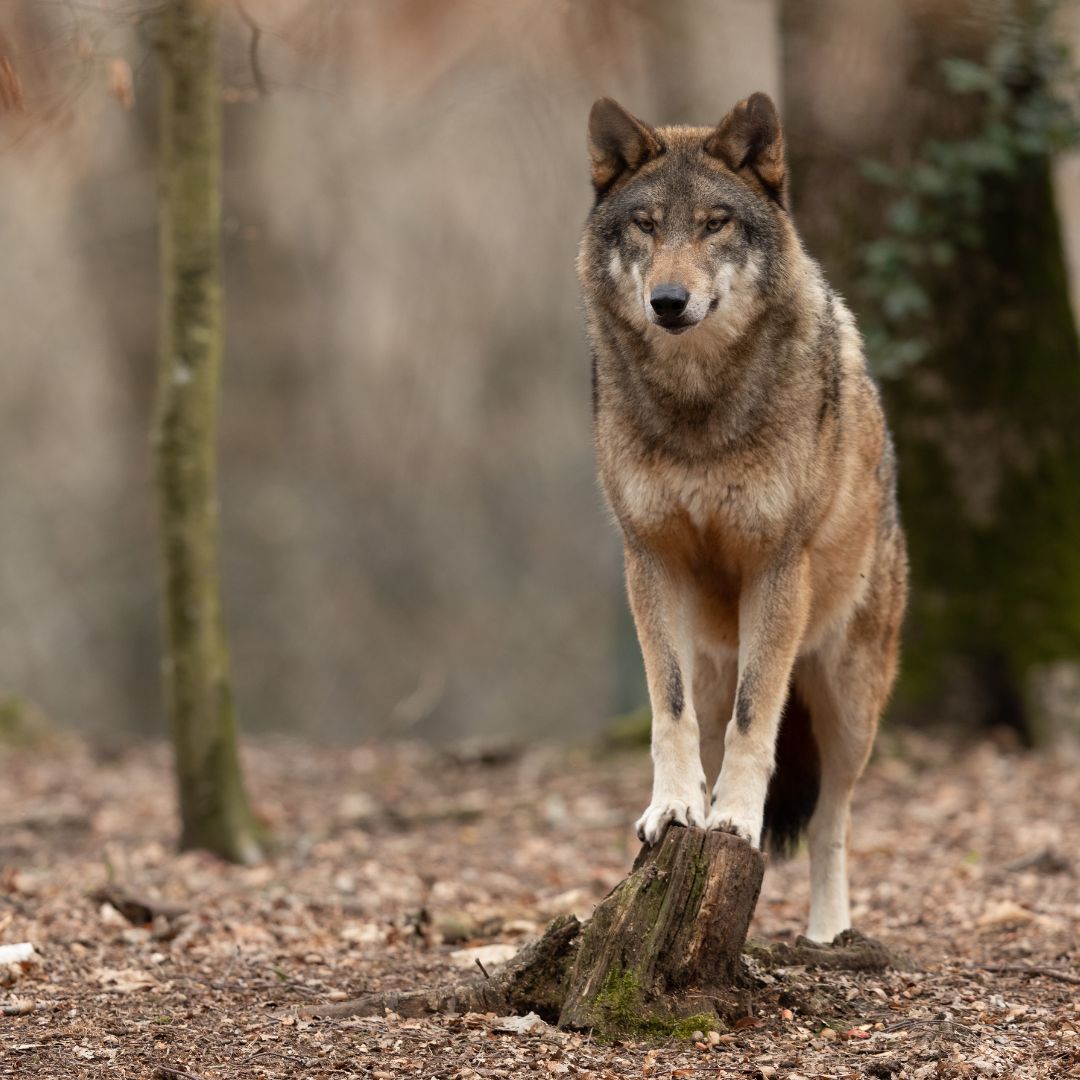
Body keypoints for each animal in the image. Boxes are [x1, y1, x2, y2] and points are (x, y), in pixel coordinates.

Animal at [578, 93, 908, 942]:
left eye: (715, 224)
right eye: (647, 225)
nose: (669, 301)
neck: (699, 408)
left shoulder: (775, 565)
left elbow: (756, 724)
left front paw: (732, 822)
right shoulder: (650, 560)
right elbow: (669, 712)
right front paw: (675, 810)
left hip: (847, 702)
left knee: (832, 822)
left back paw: (828, 935)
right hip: (716, 658)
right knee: (710, 722)